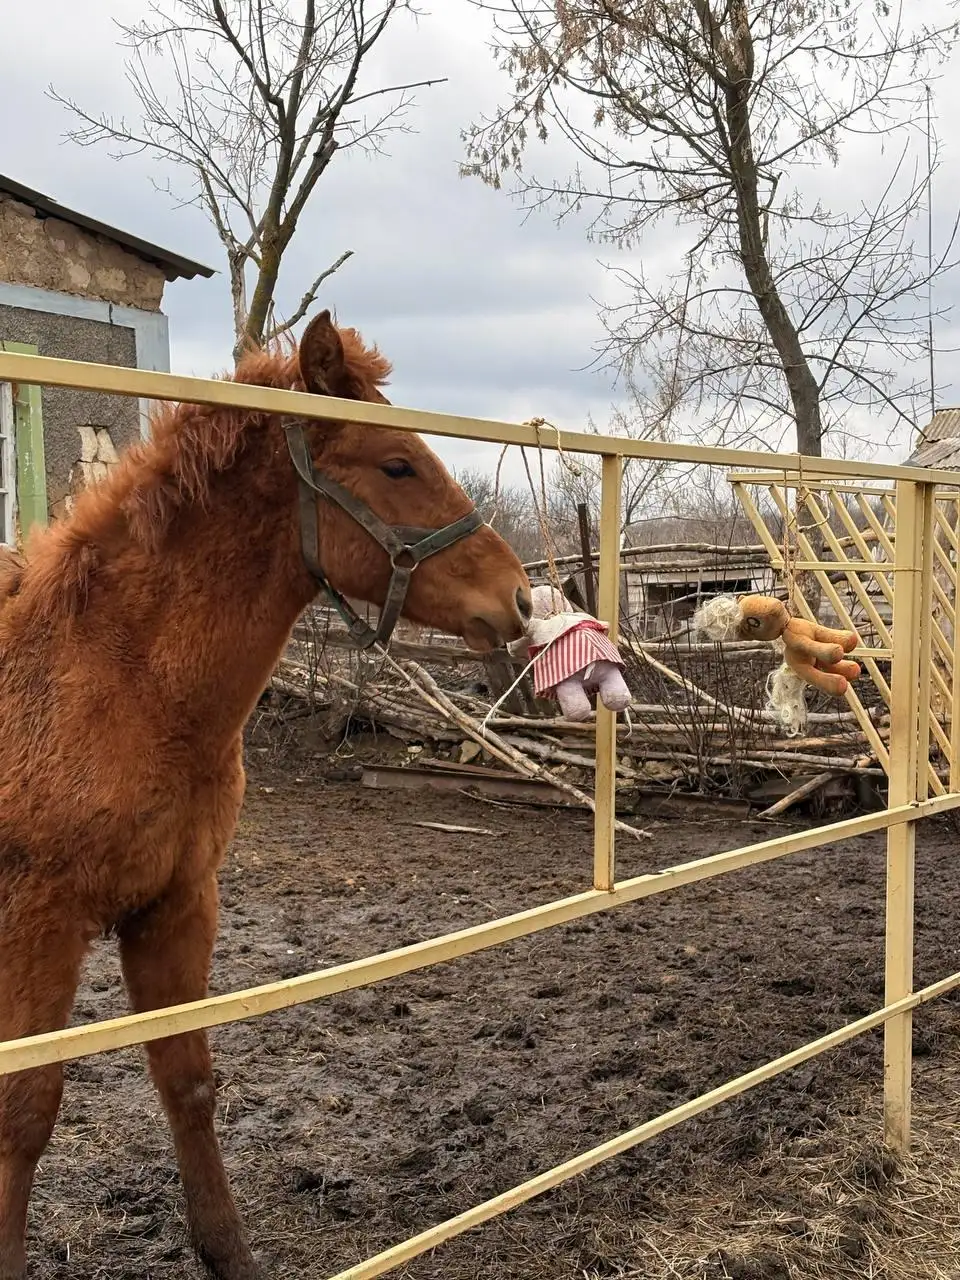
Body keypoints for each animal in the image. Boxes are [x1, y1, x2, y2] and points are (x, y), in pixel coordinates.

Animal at [0, 310, 531, 1280]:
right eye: (396, 465)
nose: (517, 598)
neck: (113, 679)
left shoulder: (176, 905)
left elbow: (187, 1080)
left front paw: (227, 1251)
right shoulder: (39, 923)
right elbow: (27, 1111)